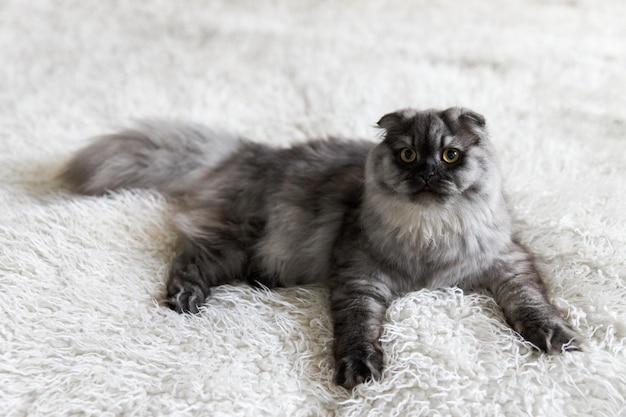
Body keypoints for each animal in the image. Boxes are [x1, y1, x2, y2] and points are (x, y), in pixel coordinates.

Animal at [63, 106, 580, 386]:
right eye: (408, 154)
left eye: (451, 155)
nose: (428, 173)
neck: (430, 232)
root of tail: (250, 152)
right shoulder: (360, 278)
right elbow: (357, 329)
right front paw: (359, 369)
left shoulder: (508, 263)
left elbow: (531, 303)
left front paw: (555, 336)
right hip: (235, 239)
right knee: (189, 258)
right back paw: (185, 299)